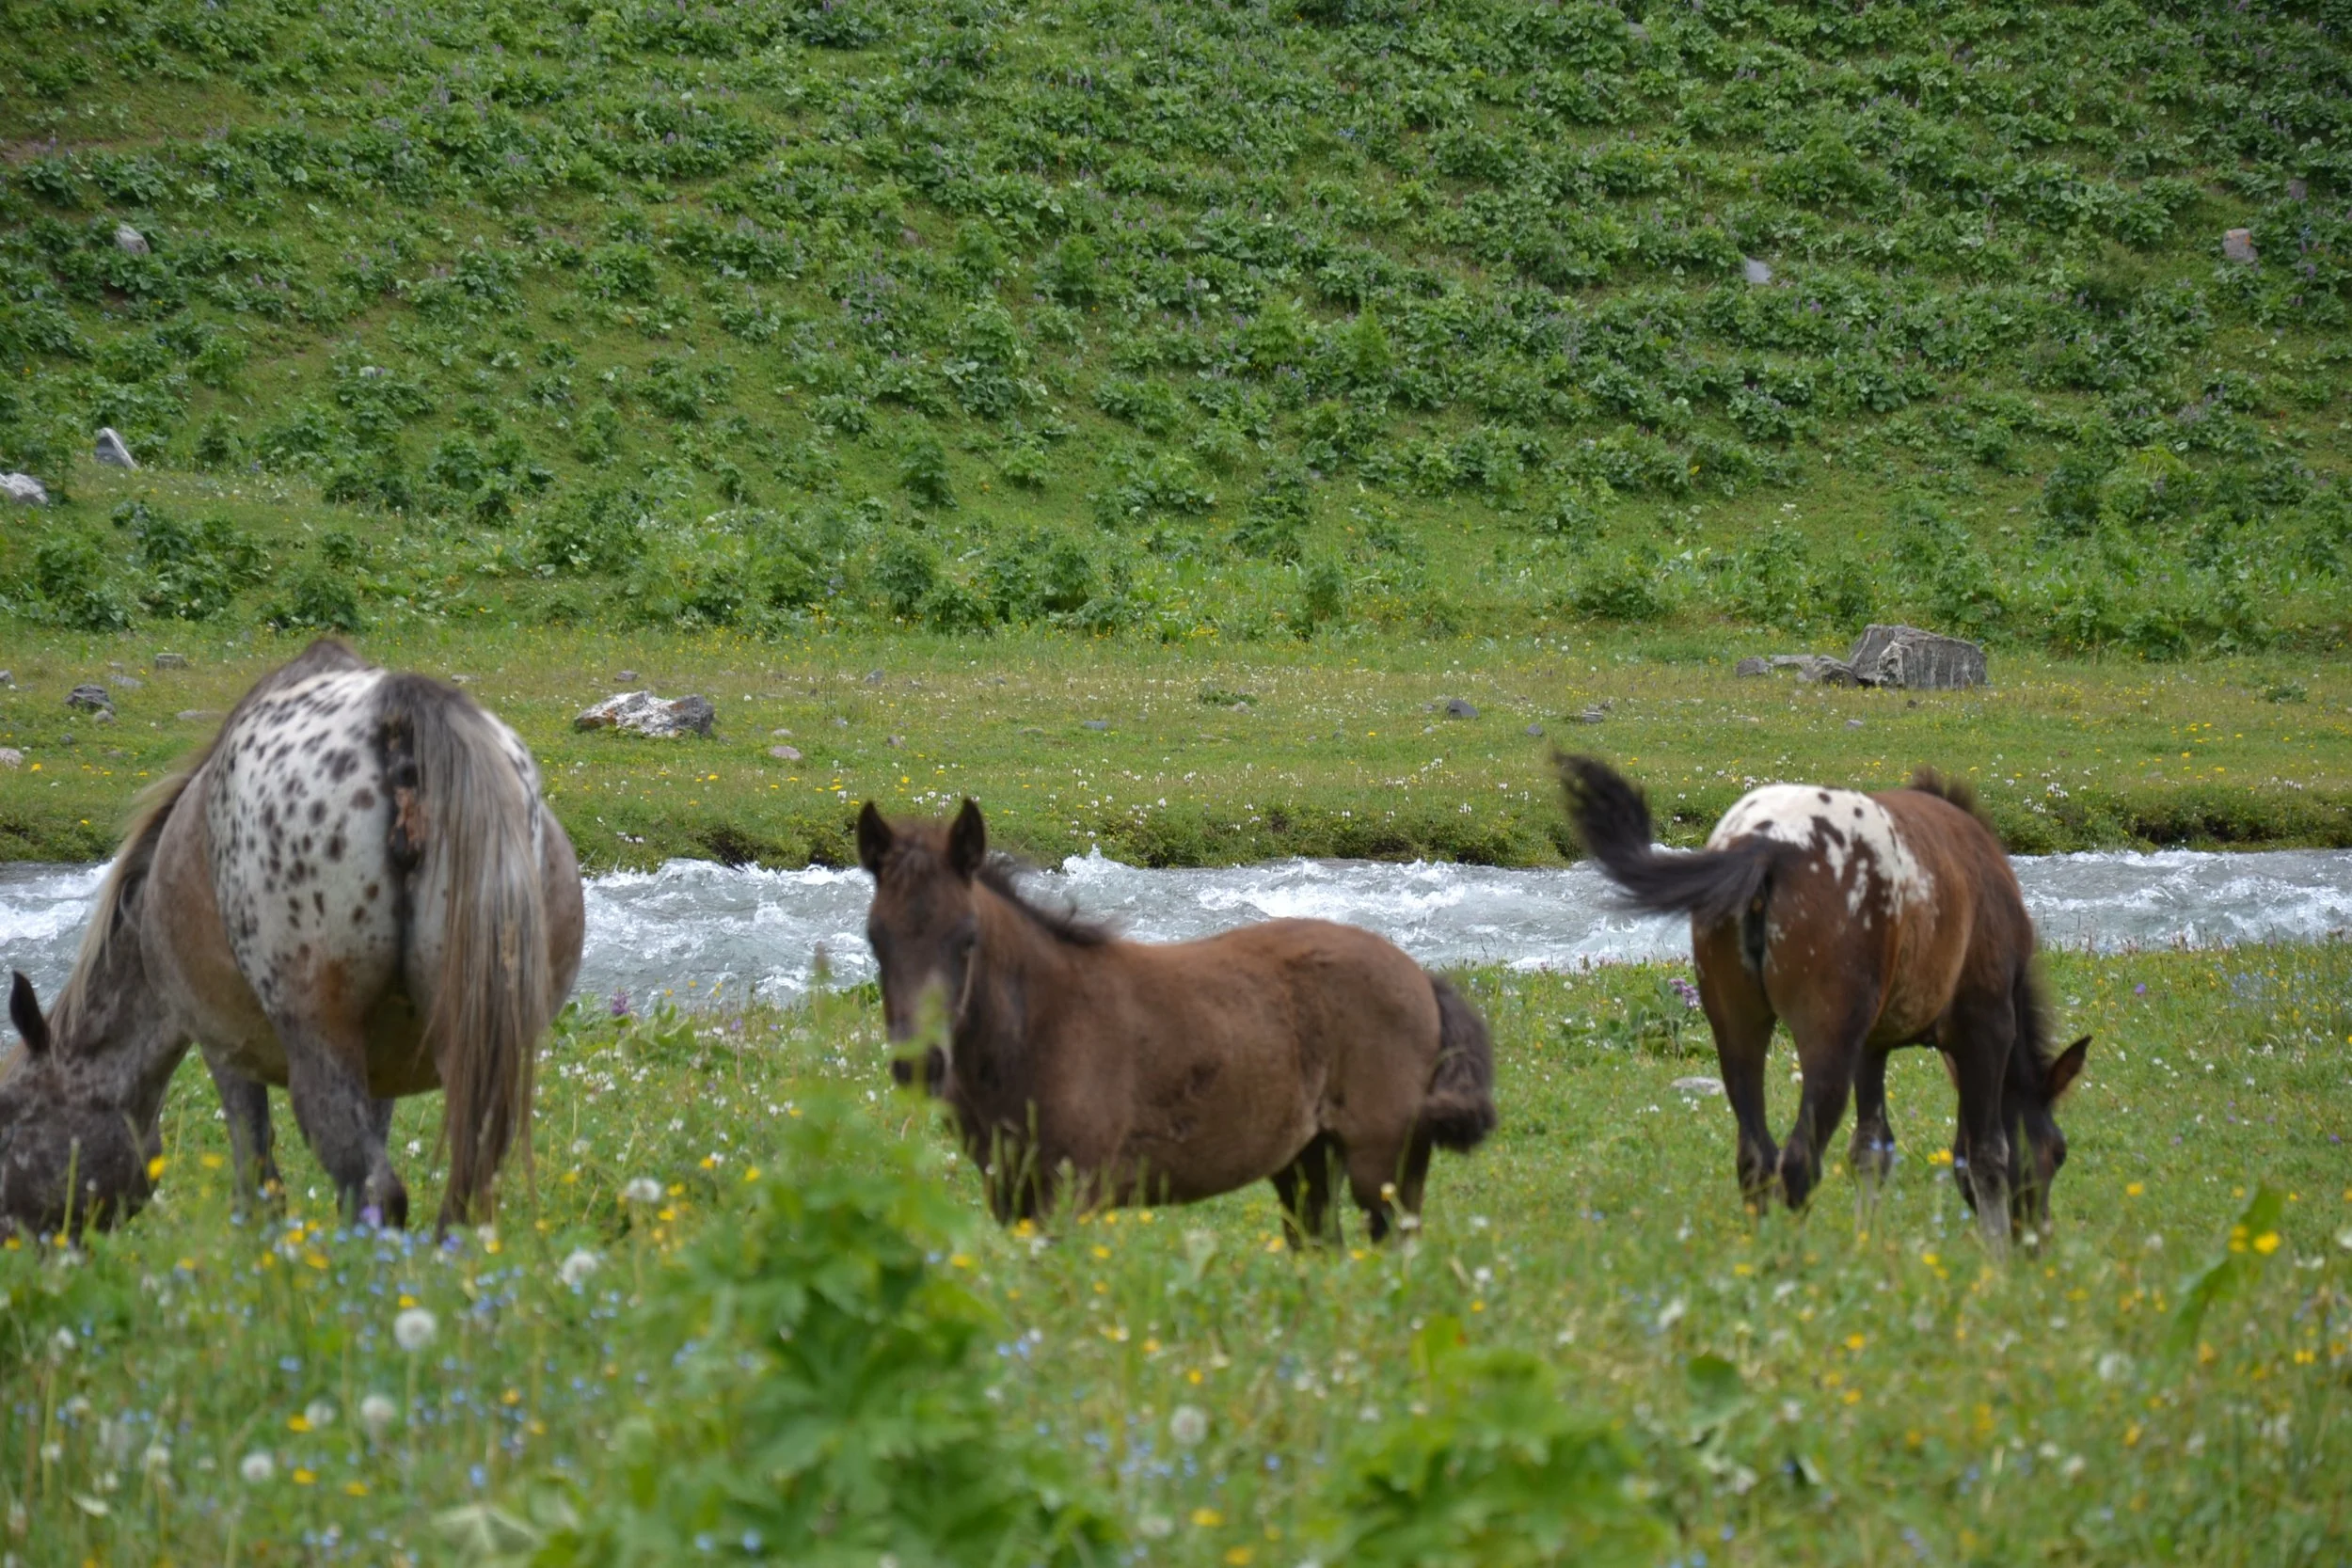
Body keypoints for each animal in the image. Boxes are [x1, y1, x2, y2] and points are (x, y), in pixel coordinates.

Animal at [0, 638, 584, 1239]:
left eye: (9, 1120)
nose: (15, 1233)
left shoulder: (223, 1045)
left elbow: (258, 1181)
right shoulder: (381, 1067)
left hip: (318, 1031)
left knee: (374, 1186)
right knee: (464, 1194)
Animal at [856, 798, 1496, 1241]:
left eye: (967, 939)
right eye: (875, 939)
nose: (919, 1064)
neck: (1040, 1027)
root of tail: (1422, 975)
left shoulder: (1071, 1188)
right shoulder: (1007, 1189)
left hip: (1384, 1163)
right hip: (1306, 1162)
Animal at [1555, 755, 2088, 1255]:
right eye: (2059, 1151)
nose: (2037, 1241)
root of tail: (1765, 850)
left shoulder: (1873, 1042)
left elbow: (1872, 1148)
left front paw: (1863, 1245)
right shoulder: (1988, 1022)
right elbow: (1987, 1155)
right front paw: (1998, 1263)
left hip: (1735, 1021)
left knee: (1755, 1159)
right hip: (1827, 1030)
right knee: (1798, 1163)